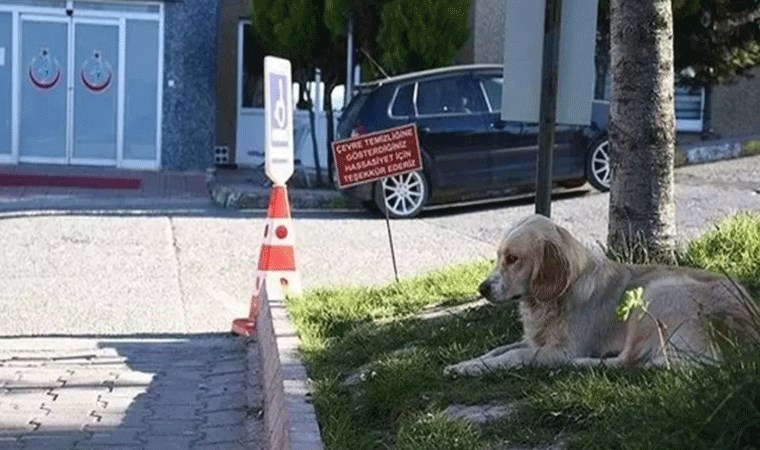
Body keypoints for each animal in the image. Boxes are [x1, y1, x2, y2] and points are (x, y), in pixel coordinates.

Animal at [442, 214, 756, 376]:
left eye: (512, 259)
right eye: (498, 257)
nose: (482, 288)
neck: (554, 299)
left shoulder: (563, 349)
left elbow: (514, 355)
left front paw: (471, 368)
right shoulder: (534, 340)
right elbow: (499, 349)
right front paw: (465, 363)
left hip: (656, 293)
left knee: (628, 361)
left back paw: (581, 366)